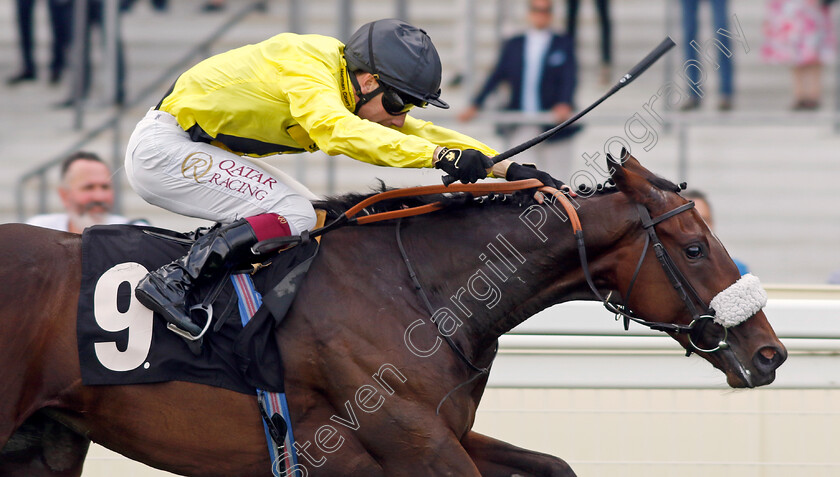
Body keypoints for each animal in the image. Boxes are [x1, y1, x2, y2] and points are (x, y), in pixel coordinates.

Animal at [1, 154, 788, 474]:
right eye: (695, 247)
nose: (770, 352)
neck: (417, 291)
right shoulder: (410, 442)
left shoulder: (438, 434)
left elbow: (553, 464)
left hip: (44, 442)